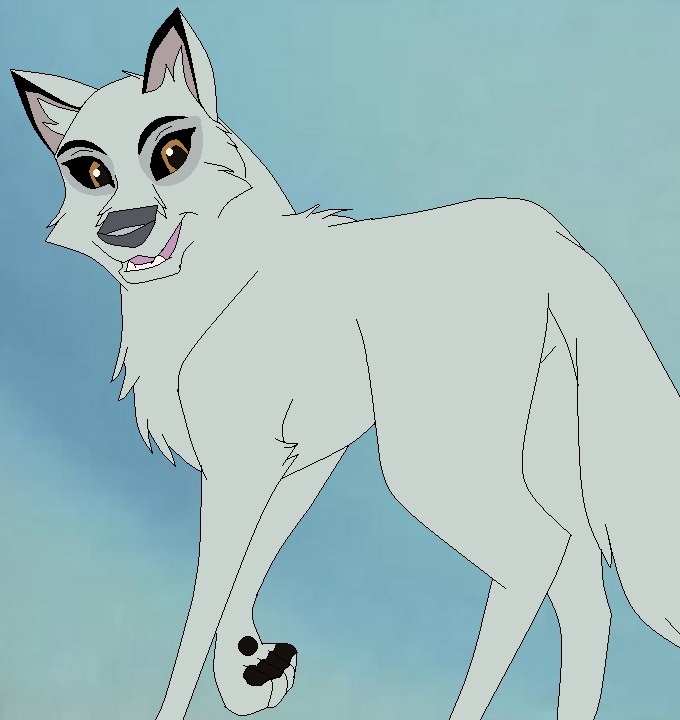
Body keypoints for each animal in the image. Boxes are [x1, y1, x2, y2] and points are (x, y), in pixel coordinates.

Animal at [11, 8, 680, 719]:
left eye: (171, 154)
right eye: (90, 174)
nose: (127, 226)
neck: (214, 282)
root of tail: (550, 234)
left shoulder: (240, 467)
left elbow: (202, 608)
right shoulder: (301, 461)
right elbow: (248, 570)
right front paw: (253, 670)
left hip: (430, 466)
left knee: (536, 558)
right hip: (541, 460)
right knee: (585, 596)